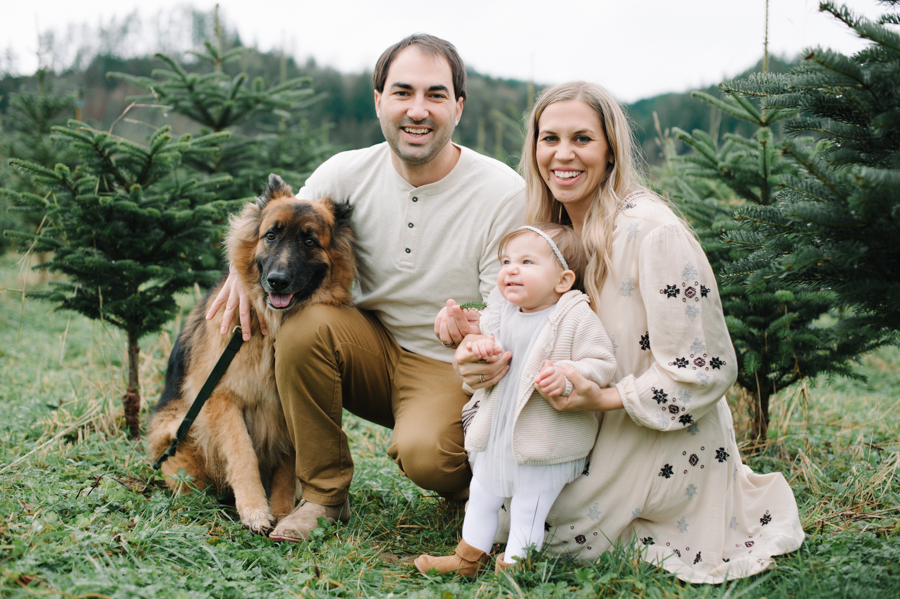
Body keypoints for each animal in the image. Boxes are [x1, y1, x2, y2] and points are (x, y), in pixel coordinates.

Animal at [148, 173, 356, 536]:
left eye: (309, 242)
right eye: (270, 235)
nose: (277, 282)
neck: (270, 327)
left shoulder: (286, 409)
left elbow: (287, 467)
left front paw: (283, 510)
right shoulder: (222, 398)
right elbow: (242, 453)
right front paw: (255, 510)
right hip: (176, 428)